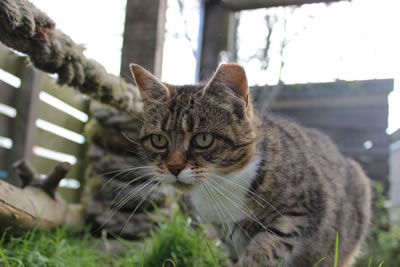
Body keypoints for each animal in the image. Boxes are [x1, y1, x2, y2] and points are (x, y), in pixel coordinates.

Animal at [130, 63, 370, 267]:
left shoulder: (297, 213)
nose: (174, 167)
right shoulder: (227, 236)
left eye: (203, 139)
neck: (222, 184)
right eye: (159, 140)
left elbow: (262, 250)